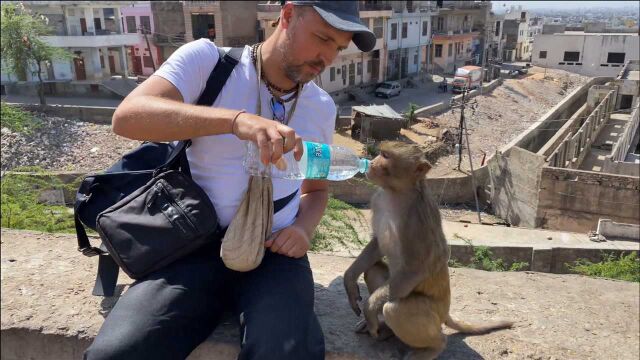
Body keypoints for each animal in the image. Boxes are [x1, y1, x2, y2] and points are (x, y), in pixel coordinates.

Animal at [342, 141, 512, 360]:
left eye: (386, 156)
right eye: (381, 153)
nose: (371, 163)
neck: (397, 193)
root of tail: (445, 312)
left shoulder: (417, 220)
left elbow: (418, 268)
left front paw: (369, 309)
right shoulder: (379, 200)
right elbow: (378, 244)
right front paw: (349, 281)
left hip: (432, 315)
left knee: (394, 309)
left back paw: (434, 347)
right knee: (372, 269)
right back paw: (386, 329)